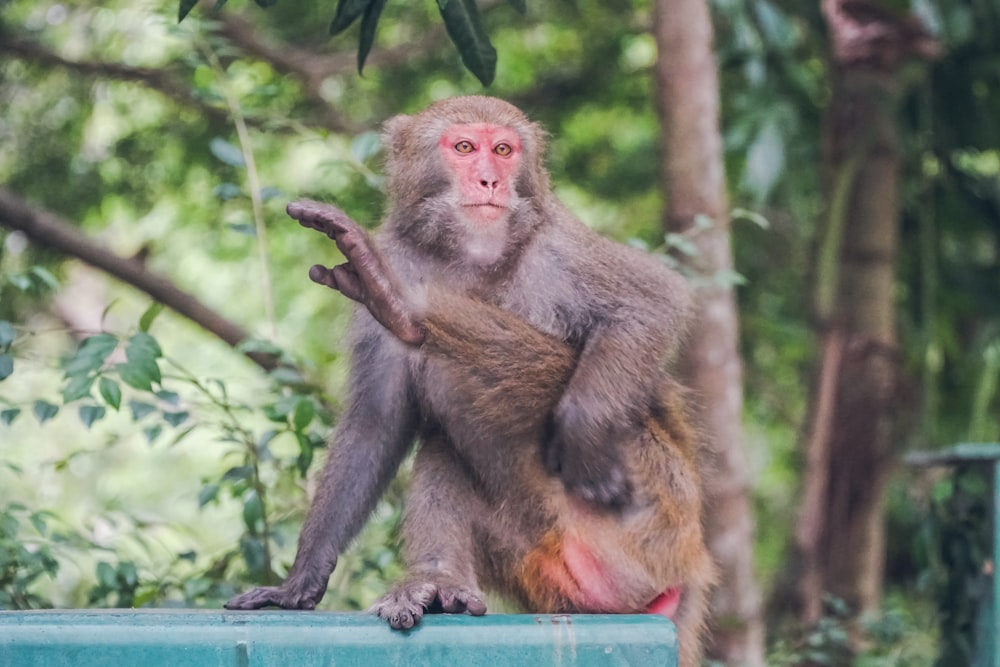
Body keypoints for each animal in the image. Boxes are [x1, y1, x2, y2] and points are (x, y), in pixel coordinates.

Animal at [226, 96, 712, 664]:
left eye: (503, 150)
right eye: (464, 147)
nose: (490, 180)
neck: (471, 260)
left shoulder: (559, 247)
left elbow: (652, 302)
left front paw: (583, 433)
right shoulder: (404, 251)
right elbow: (375, 423)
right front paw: (300, 579)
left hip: (658, 512)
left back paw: (403, 302)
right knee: (442, 440)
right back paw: (440, 585)